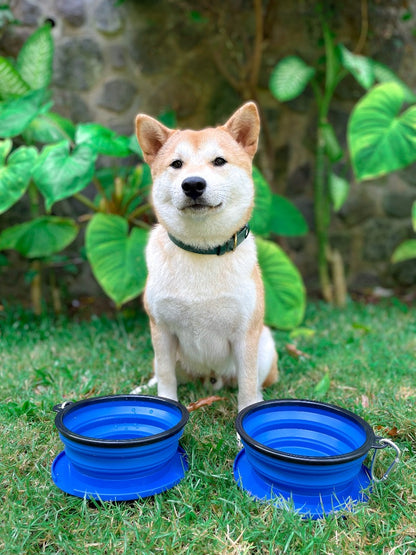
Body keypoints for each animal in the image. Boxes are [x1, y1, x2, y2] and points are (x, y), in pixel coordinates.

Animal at [135, 102, 278, 410]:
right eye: (177, 164)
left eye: (219, 161)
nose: (192, 184)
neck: (202, 249)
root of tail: (209, 378)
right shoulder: (161, 330)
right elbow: (166, 379)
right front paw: (163, 403)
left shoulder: (245, 335)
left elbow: (247, 386)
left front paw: (245, 418)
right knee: (161, 372)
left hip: (265, 345)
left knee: (257, 381)